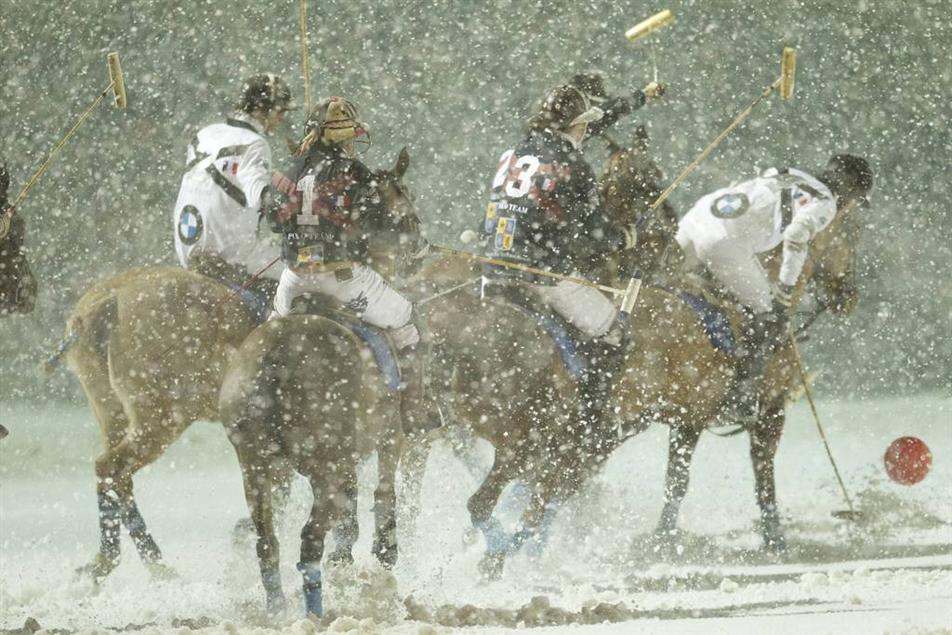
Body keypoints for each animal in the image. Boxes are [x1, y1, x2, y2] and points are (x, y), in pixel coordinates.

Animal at [61, 148, 415, 582]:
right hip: (161, 417)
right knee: (114, 468)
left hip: (111, 411)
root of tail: (108, 300)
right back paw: (142, 562)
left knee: (113, 475)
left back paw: (125, 561)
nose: (420, 248)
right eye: (403, 206)